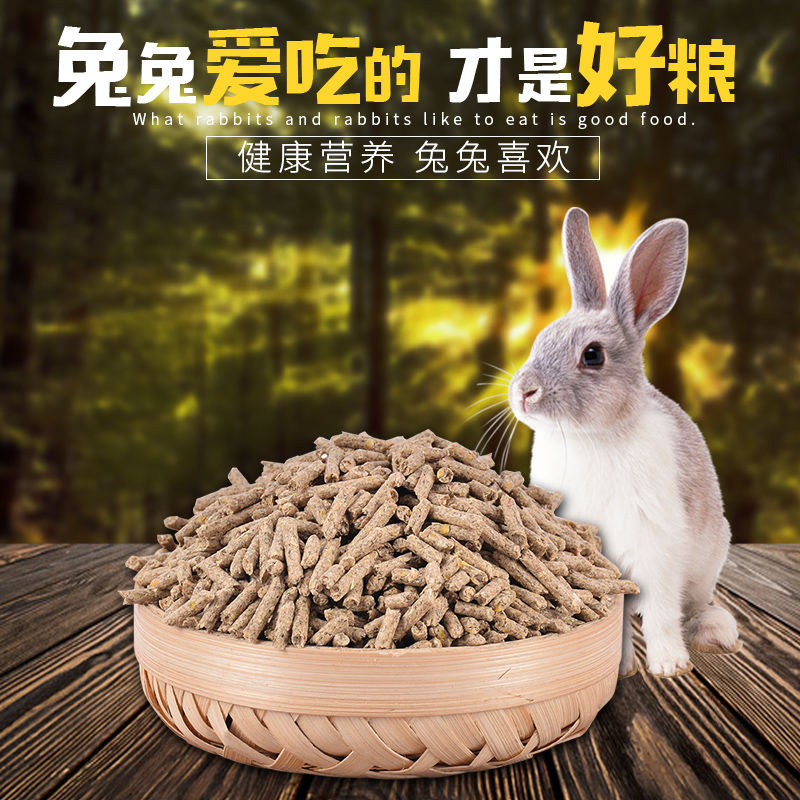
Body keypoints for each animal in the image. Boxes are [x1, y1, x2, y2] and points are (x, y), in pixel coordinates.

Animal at [508, 207, 741, 678]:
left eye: (593, 355)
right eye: (540, 340)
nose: (523, 392)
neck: (591, 435)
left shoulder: (656, 546)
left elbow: (661, 612)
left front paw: (669, 665)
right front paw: (623, 668)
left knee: (694, 605)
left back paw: (713, 634)